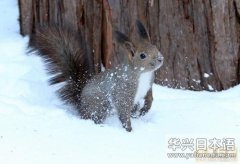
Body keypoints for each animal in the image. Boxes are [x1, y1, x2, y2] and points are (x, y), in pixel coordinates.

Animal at [28, 20, 163, 132]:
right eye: (142, 55)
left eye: (156, 48)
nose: (160, 59)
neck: (143, 74)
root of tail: (81, 106)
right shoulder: (123, 89)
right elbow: (123, 110)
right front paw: (128, 129)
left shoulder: (149, 85)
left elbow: (149, 97)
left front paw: (146, 108)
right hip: (99, 106)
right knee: (95, 117)